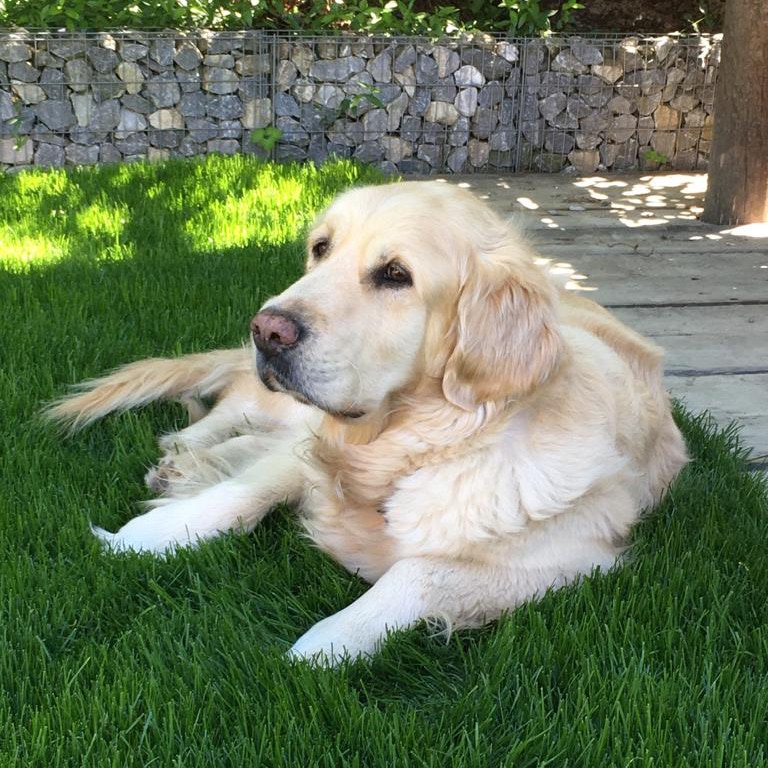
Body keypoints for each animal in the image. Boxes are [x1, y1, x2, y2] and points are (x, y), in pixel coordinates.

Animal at [47, 181, 688, 665]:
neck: (402, 448)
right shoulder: (313, 446)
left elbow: (417, 574)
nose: (266, 330)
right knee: (229, 410)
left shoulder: (578, 557)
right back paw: (183, 454)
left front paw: (320, 647)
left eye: (395, 274)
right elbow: (243, 492)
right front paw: (142, 539)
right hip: (273, 405)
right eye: (320, 248)